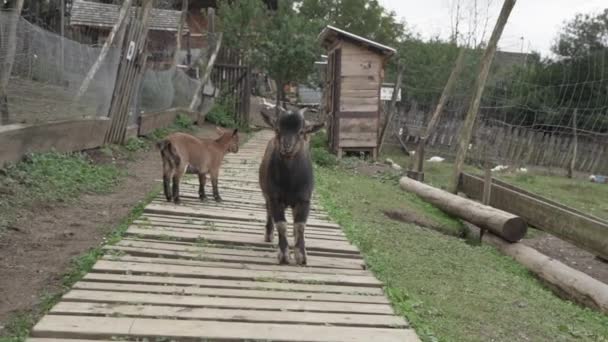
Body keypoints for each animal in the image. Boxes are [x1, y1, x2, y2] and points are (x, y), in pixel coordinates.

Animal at [256, 107, 324, 264]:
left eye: (301, 131)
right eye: (277, 129)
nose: (286, 147)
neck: (290, 183)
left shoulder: (304, 199)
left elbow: (300, 226)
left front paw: (301, 256)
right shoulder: (274, 197)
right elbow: (281, 225)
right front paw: (284, 255)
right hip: (266, 194)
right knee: (269, 212)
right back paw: (269, 235)